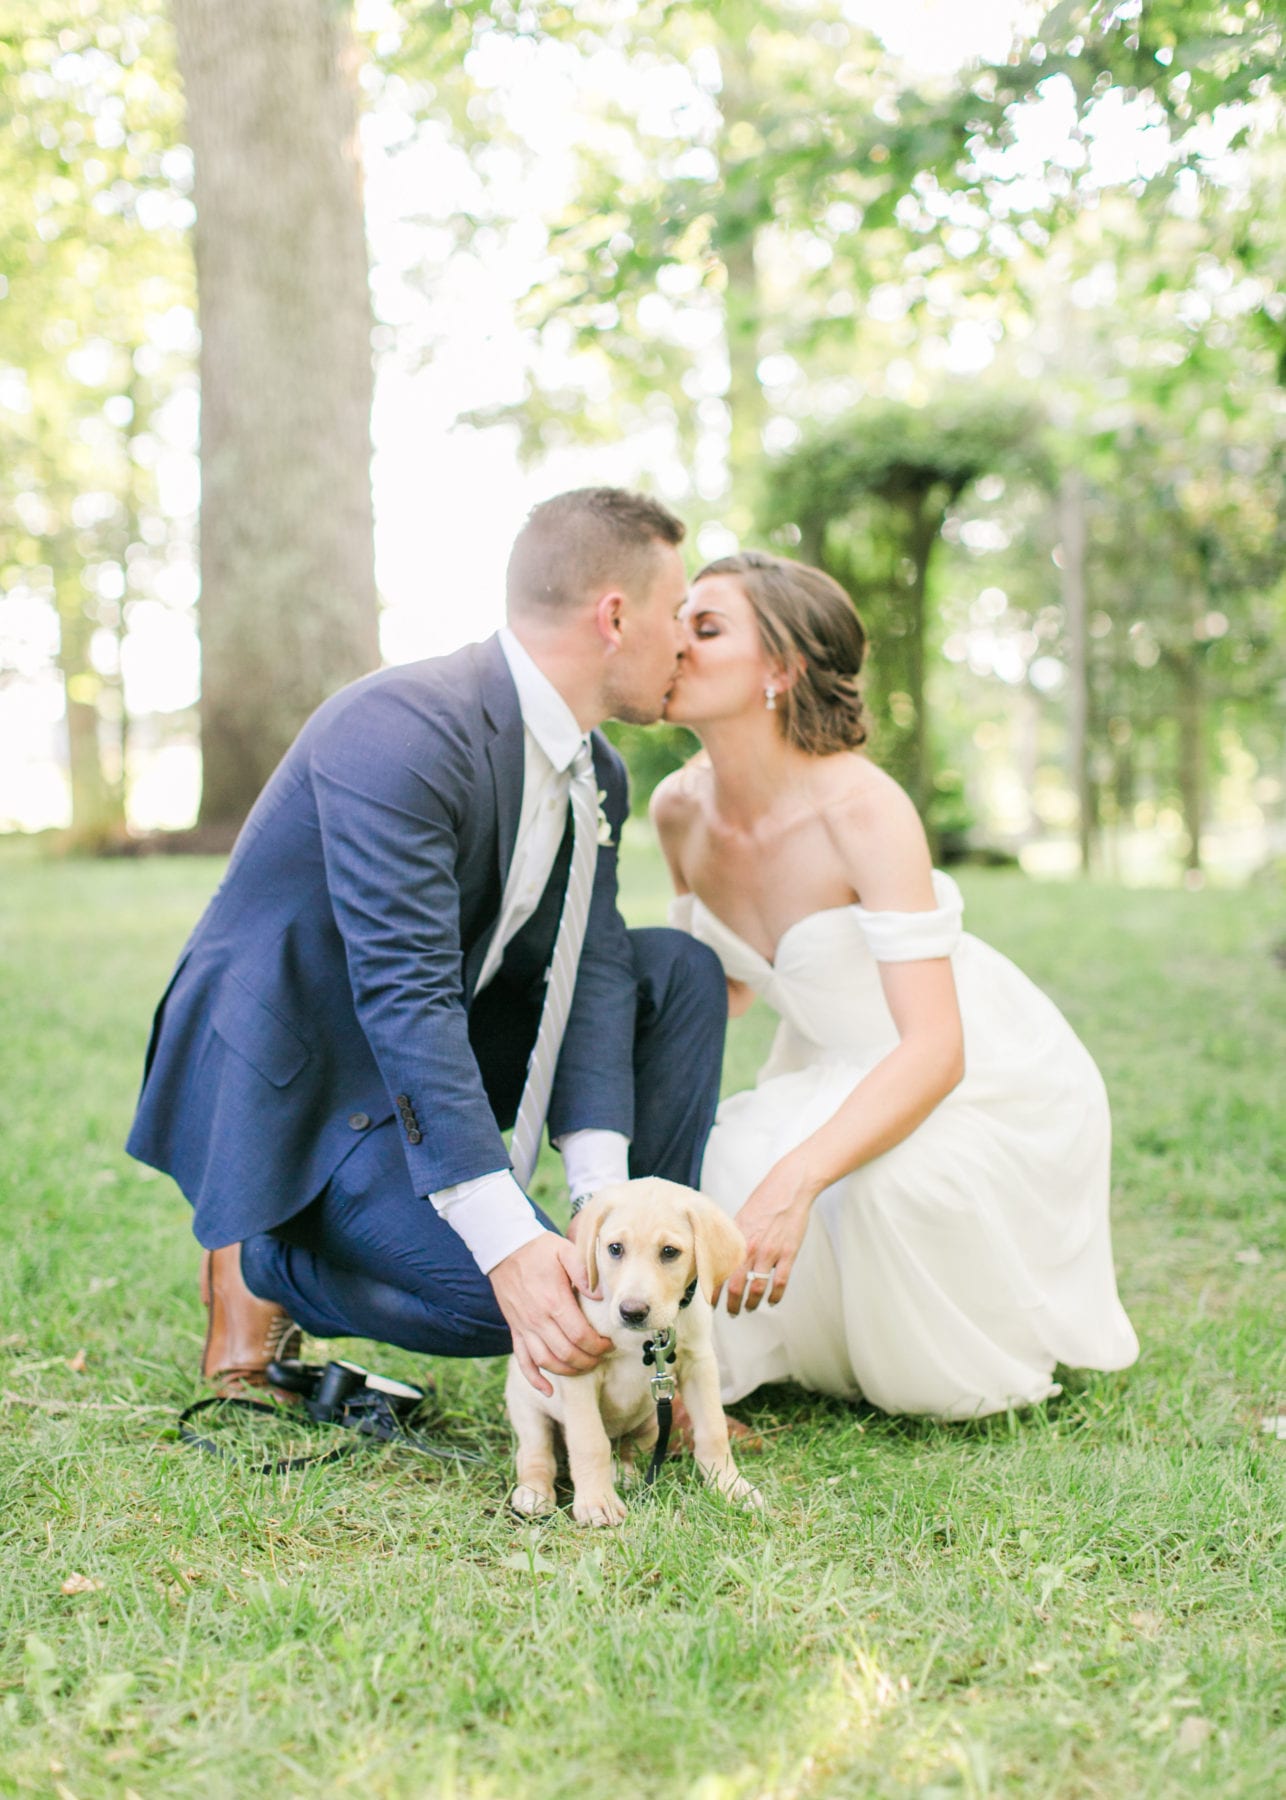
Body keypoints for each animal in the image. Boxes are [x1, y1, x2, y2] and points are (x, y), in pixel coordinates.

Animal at [500, 1173, 760, 1526]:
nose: (632, 1312)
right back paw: (534, 1494)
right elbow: (589, 1441)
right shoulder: (579, 1372)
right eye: (615, 1249)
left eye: (669, 1252)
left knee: (627, 1448)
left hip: (652, 1420)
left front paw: (730, 1487)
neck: (646, 1338)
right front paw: (597, 1502)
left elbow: (713, 1430)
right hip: (528, 1407)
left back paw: (623, 1473)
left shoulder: (699, 1363)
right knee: (535, 1455)